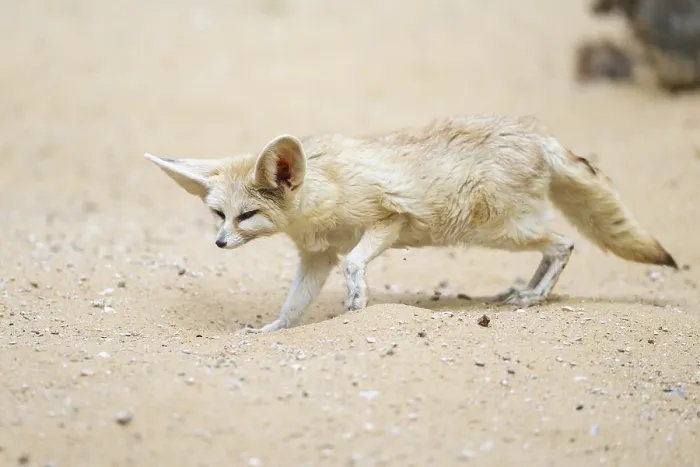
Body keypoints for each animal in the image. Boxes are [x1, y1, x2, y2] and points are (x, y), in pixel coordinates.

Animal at [144, 115, 677, 333]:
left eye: (247, 216)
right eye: (220, 215)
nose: (219, 243)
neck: (323, 188)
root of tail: (537, 136)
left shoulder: (387, 222)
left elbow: (355, 265)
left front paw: (358, 302)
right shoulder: (316, 257)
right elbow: (293, 305)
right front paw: (272, 330)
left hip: (501, 232)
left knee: (563, 245)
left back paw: (534, 296)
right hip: (507, 232)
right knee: (554, 248)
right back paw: (525, 291)